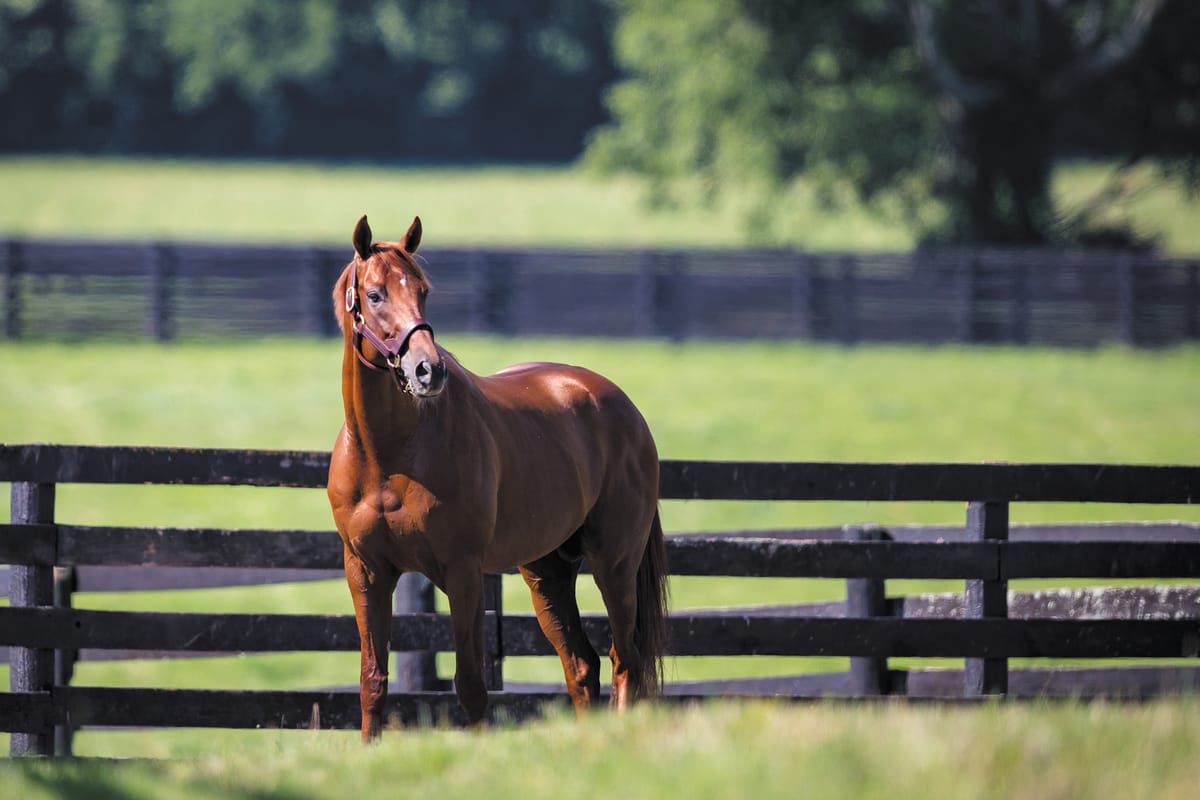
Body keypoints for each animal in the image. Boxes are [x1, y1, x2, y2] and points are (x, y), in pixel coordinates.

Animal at [324, 215, 672, 743]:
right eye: (376, 294)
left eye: (423, 291)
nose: (428, 371)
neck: (389, 455)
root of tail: (623, 408)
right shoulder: (365, 572)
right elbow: (373, 681)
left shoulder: (463, 572)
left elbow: (470, 683)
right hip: (546, 572)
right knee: (582, 665)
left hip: (615, 564)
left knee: (624, 660)